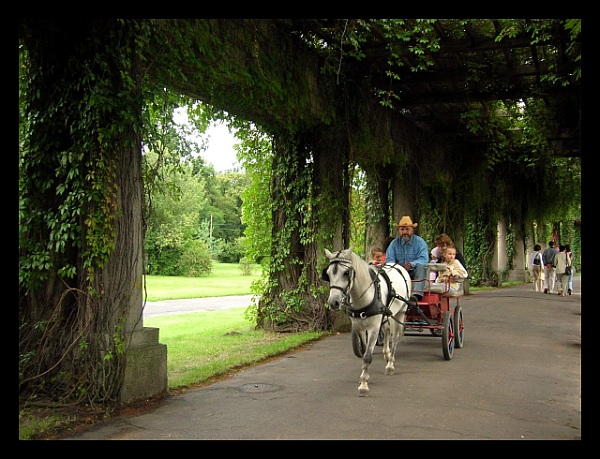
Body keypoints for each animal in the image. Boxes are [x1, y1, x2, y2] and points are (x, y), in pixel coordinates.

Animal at [324, 248, 412, 396]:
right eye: (328, 273)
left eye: (346, 273)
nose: (333, 302)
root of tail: (399, 266)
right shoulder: (358, 326)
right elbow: (364, 350)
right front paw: (364, 377)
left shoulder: (374, 328)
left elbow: (367, 356)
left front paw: (364, 385)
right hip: (387, 314)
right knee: (387, 331)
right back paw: (387, 355)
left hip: (401, 312)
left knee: (395, 338)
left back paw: (390, 364)